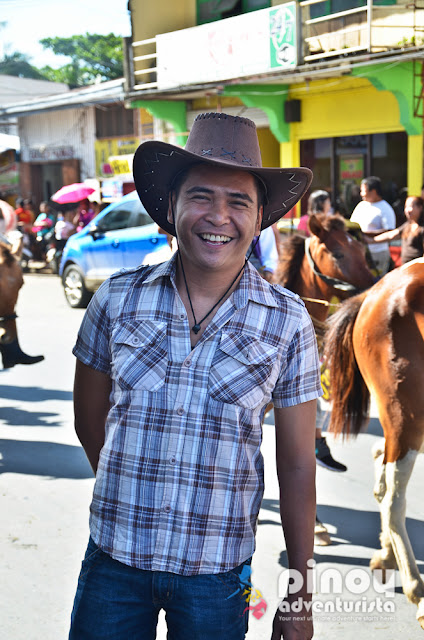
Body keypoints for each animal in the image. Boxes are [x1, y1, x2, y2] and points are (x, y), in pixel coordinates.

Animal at [322, 258, 424, 628]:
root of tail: (375, 290)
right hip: (405, 412)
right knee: (395, 500)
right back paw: (416, 589)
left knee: (383, 468)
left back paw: (386, 553)